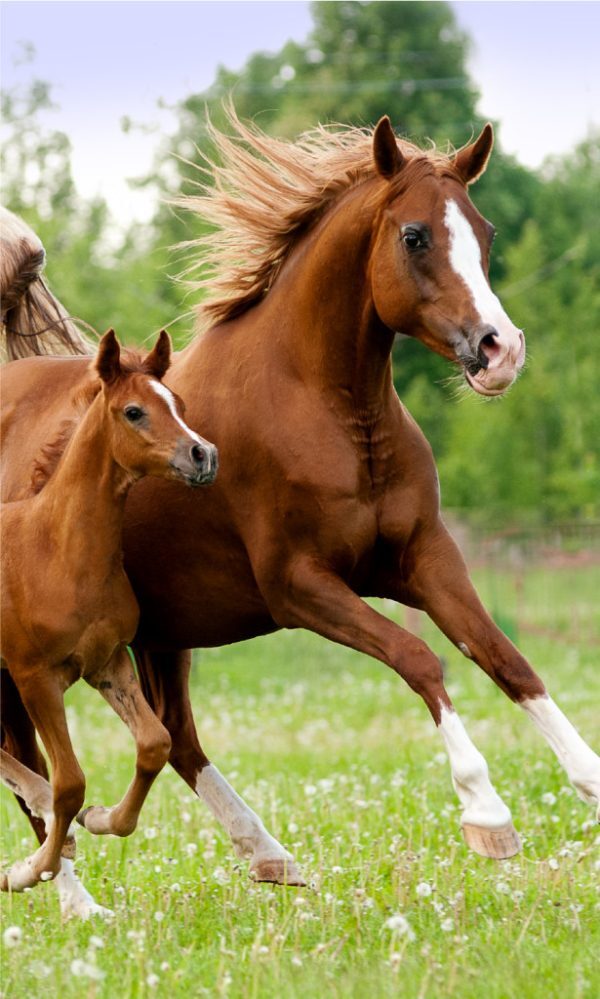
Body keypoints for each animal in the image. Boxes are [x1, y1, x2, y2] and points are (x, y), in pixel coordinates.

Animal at [0, 329, 217, 902]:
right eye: (134, 411)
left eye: (178, 404)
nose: (203, 454)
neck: (56, 549)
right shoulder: (35, 678)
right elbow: (69, 782)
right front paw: (33, 868)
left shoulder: (108, 664)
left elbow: (155, 744)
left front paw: (101, 819)